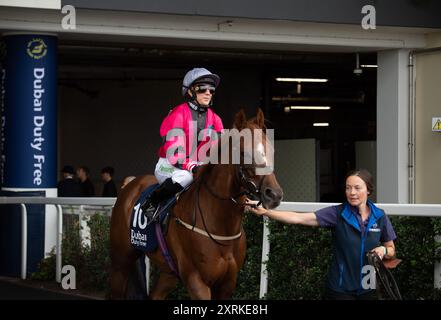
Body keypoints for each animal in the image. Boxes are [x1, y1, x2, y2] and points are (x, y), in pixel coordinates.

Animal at [109, 110, 282, 300]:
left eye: (271, 150)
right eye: (244, 153)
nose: (274, 194)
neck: (221, 228)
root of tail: (129, 185)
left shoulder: (228, 283)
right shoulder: (196, 281)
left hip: (168, 272)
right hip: (120, 263)